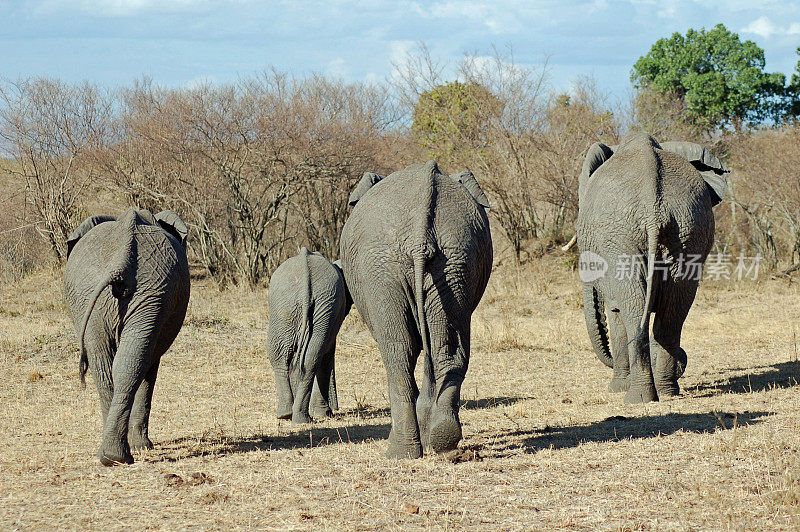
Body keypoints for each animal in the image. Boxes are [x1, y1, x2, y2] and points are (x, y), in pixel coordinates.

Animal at [64, 208, 191, 466]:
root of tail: (123, 254)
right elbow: (149, 369)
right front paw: (144, 446)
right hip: (140, 291)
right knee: (127, 364)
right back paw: (121, 453)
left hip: (128, 293)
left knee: (111, 366)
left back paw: (113, 456)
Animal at [266, 247, 350, 426]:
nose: (336, 408)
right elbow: (327, 354)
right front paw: (324, 414)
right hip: (294, 306)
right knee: (310, 356)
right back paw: (292, 416)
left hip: (299, 306)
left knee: (287, 355)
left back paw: (289, 416)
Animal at [340, 161, 494, 458]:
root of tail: (420, 236)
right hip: (454, 260)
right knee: (446, 349)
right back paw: (444, 442)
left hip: (383, 268)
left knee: (398, 351)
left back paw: (400, 452)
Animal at [580, 132, 728, 404]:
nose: (684, 358)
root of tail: (653, 208)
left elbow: (615, 311)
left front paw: (616, 388)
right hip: (687, 229)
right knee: (674, 309)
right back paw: (667, 391)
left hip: (621, 238)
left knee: (633, 309)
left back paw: (637, 397)